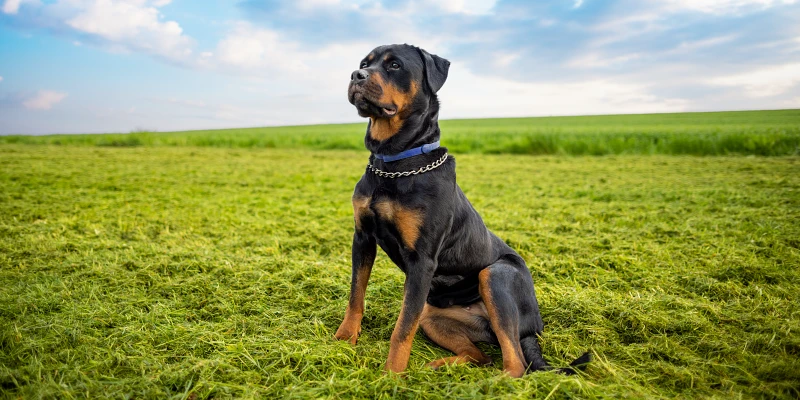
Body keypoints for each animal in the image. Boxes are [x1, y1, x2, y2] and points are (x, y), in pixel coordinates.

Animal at [334, 44, 592, 378]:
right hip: (432, 317)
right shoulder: (362, 237)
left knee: (515, 363)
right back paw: (438, 366)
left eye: (394, 65)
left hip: (496, 275)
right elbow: (356, 295)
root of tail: (532, 329)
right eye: (364, 63)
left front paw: (391, 375)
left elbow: (402, 328)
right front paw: (343, 340)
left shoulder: (422, 260)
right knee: (480, 355)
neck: (394, 163)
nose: (357, 75)